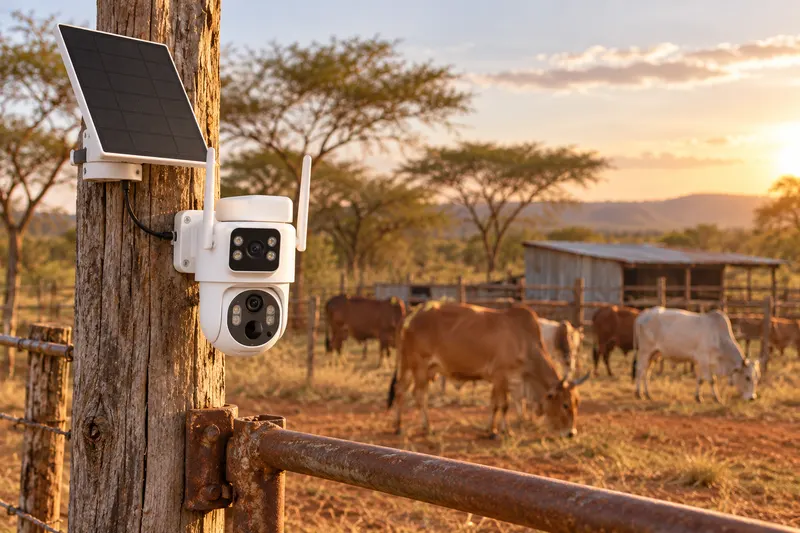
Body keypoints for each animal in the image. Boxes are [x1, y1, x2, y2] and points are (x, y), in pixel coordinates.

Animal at [387, 301, 590, 438]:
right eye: (565, 404)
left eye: (578, 403)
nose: (571, 433)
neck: (524, 341)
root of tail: (410, 314)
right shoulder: (501, 377)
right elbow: (503, 405)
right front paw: (499, 431)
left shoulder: (503, 380)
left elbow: (495, 405)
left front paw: (492, 429)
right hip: (418, 366)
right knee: (419, 395)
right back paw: (426, 427)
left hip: (409, 366)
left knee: (400, 390)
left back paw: (398, 426)